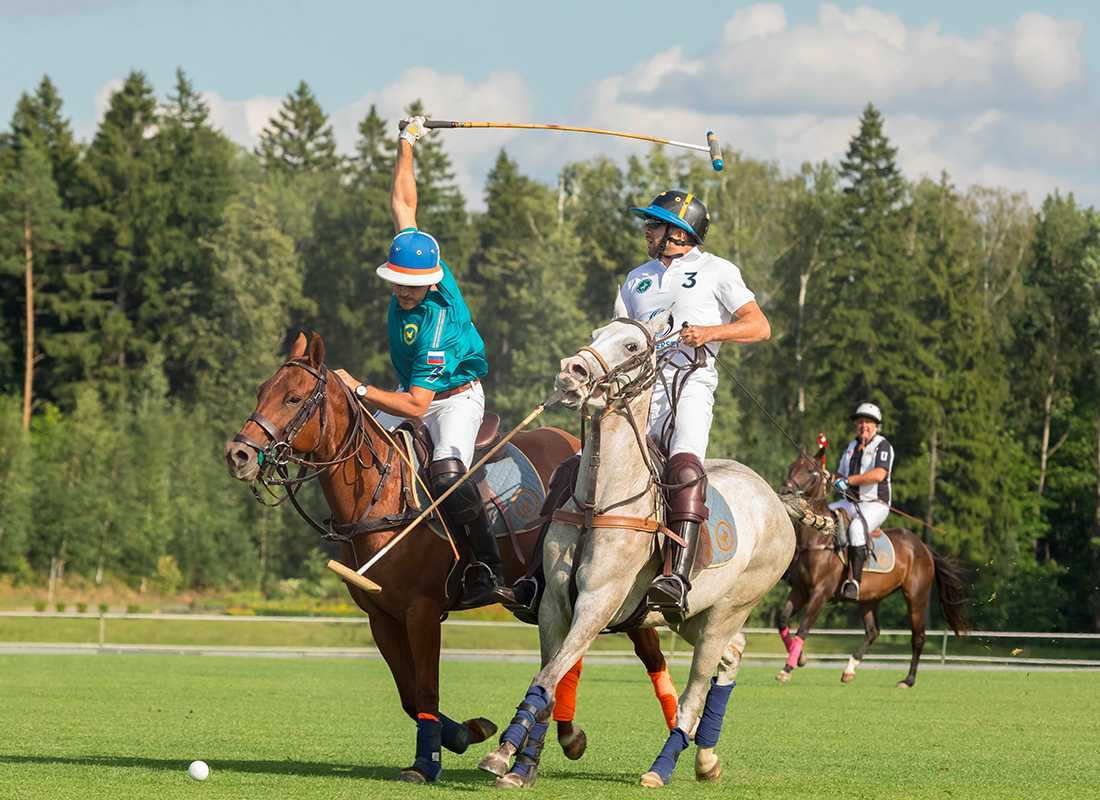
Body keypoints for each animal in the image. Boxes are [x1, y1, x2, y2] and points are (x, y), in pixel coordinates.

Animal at [221, 332, 677, 783]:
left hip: (611, 583)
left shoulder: (421, 610)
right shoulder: (380, 616)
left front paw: (426, 765)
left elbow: (425, 689)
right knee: (571, 653)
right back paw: (570, 735)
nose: (237, 455)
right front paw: (465, 733)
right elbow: (409, 695)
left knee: (644, 650)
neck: (382, 495)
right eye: (261, 391)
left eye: (294, 398)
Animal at [778, 444, 968, 686]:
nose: (784, 490)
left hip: (916, 597)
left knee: (918, 637)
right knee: (873, 631)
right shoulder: (800, 590)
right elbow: (782, 620)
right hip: (869, 598)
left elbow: (803, 629)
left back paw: (908, 680)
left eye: (811, 471)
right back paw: (849, 669)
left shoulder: (820, 593)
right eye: (792, 466)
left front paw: (788, 668)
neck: (816, 541)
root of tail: (924, 548)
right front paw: (799, 658)